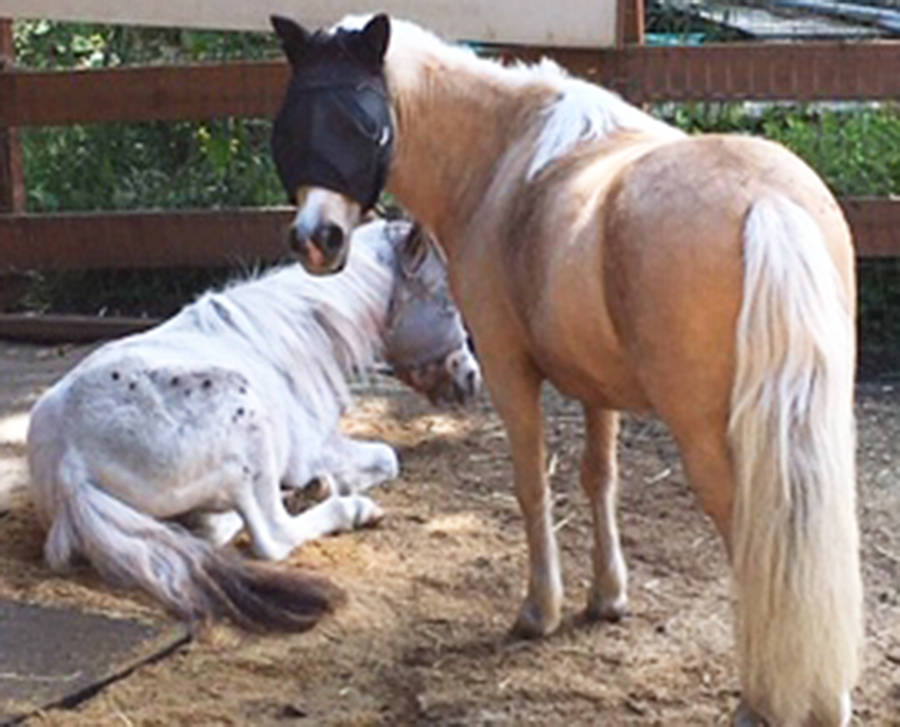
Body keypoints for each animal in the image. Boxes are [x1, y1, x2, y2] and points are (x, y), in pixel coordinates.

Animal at [26, 218, 481, 632]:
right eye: (447, 303)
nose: (471, 378)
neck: (303, 335)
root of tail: (69, 462)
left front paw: (317, 485)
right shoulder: (314, 450)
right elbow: (387, 458)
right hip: (246, 423)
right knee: (271, 535)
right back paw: (349, 508)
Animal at [268, 14, 863, 725]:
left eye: (366, 126)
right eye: (292, 122)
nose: (317, 239)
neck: (501, 159)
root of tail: (767, 202)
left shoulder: (509, 372)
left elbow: (533, 485)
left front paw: (539, 611)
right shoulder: (596, 387)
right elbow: (599, 479)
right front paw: (606, 598)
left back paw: (760, 698)